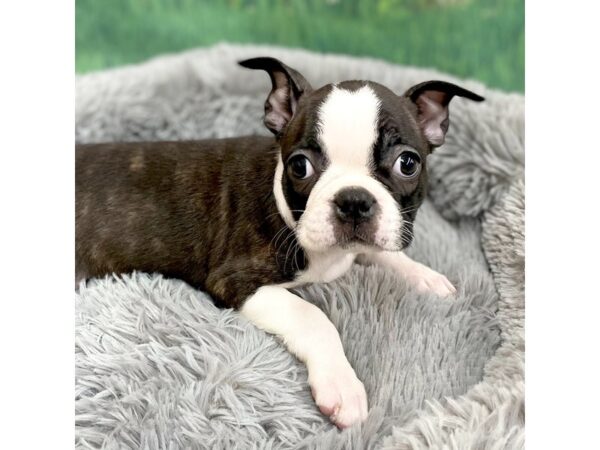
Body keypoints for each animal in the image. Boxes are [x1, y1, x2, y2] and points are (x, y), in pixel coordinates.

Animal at [76, 57, 482, 428]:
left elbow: (380, 253)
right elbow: (313, 316)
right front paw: (342, 385)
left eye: (407, 163)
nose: (353, 200)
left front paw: (425, 276)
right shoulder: (237, 280)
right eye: (300, 166)